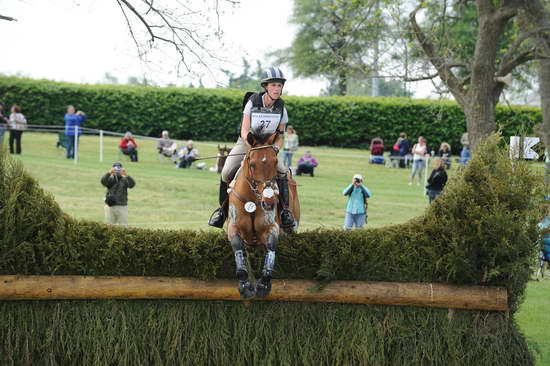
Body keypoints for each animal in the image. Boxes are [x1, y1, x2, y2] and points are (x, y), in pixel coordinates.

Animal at [226, 133, 300, 298]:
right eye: (252, 164)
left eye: (275, 162)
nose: (269, 202)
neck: (253, 200)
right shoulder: (233, 227)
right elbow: (238, 248)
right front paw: (245, 286)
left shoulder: (271, 228)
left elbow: (271, 249)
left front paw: (263, 286)